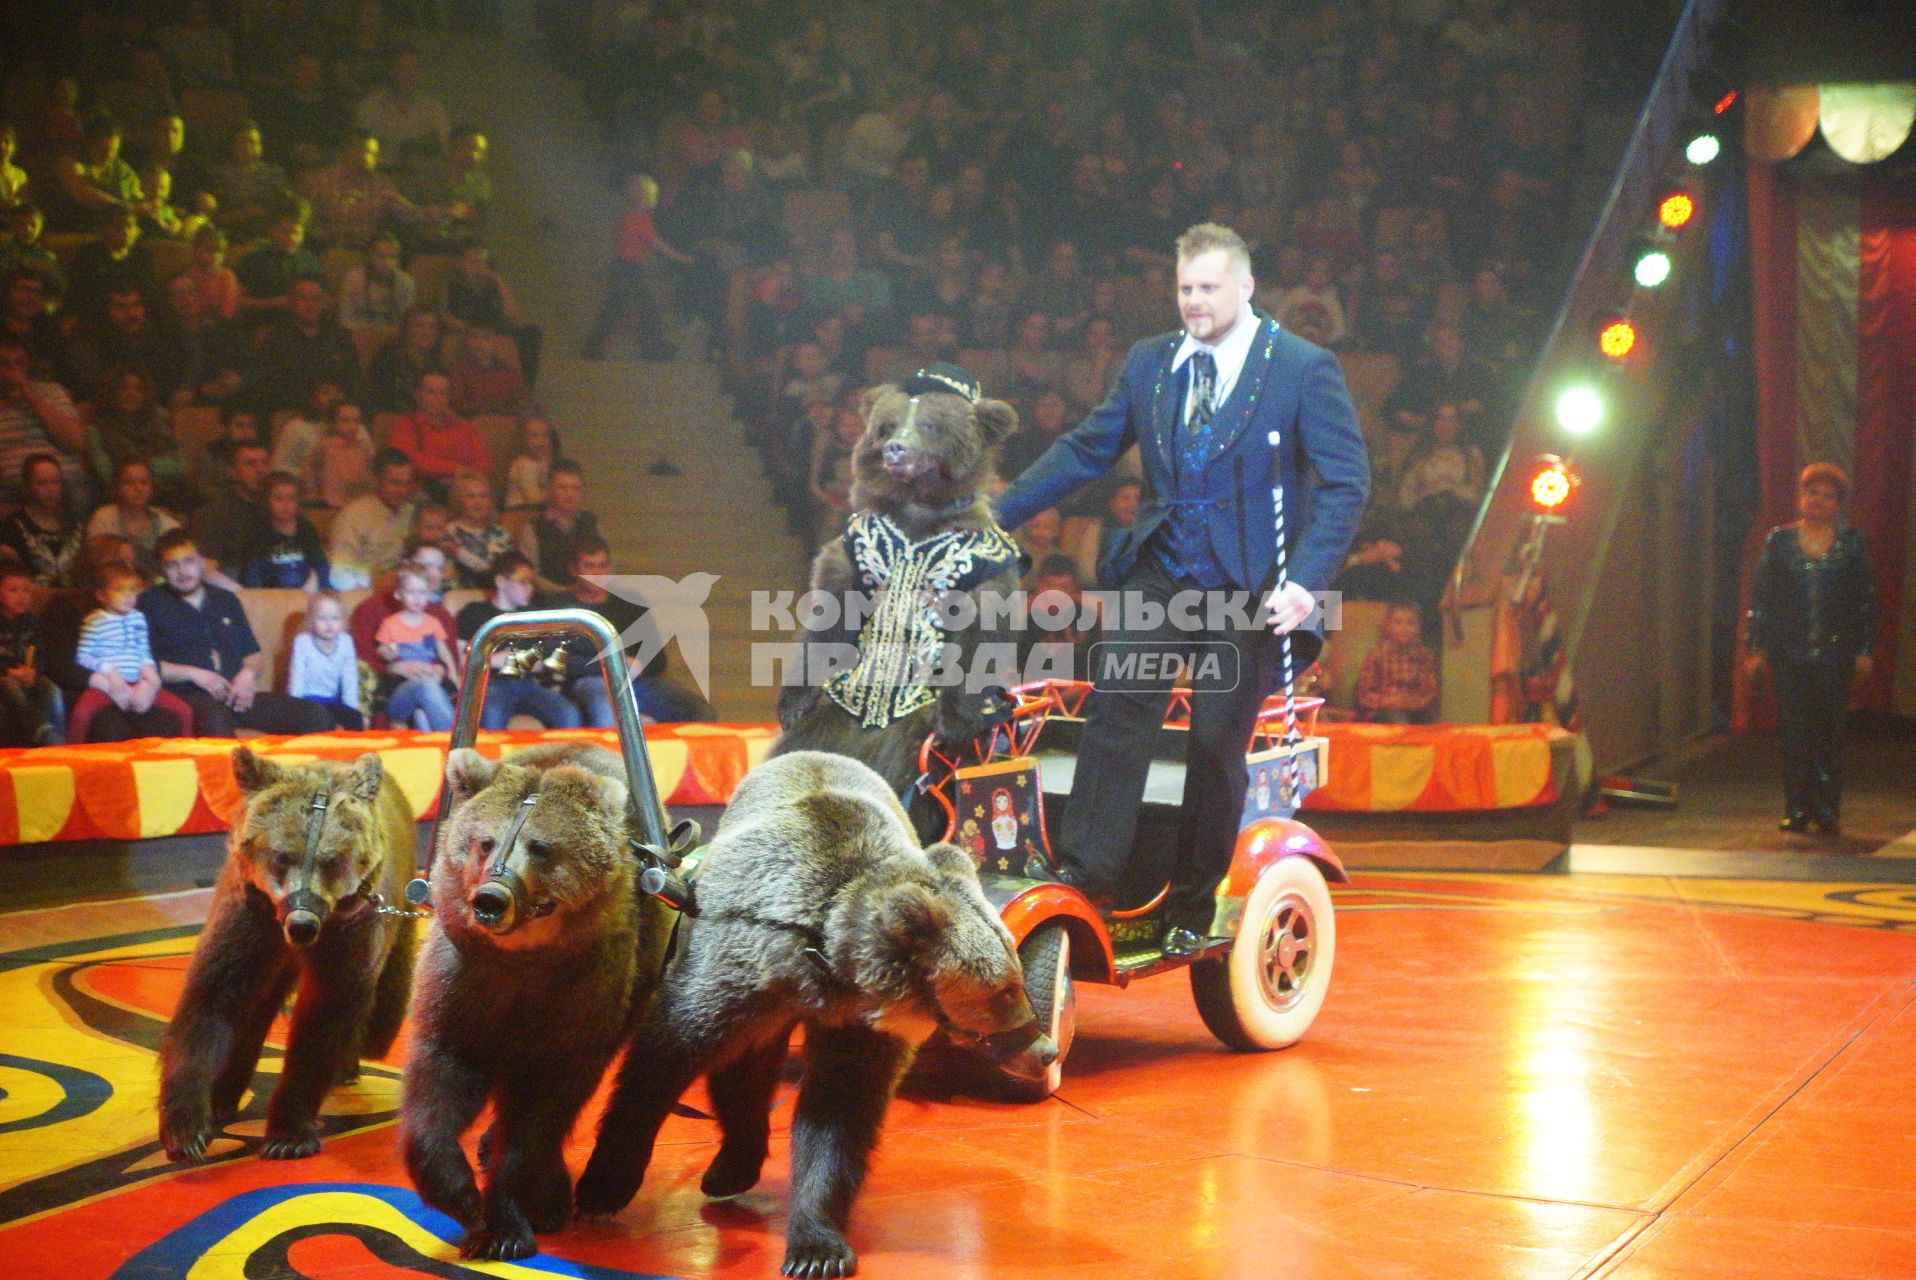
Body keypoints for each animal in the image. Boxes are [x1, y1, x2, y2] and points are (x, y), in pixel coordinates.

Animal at [161, 743, 423, 1165]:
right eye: (282, 855)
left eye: (332, 859)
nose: (302, 923)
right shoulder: (251, 914)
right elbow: (213, 995)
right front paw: (188, 1129)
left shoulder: (350, 930)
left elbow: (325, 1016)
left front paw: (288, 1134)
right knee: (259, 1004)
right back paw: (225, 1095)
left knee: (380, 1014)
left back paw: (348, 1064)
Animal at [400, 739, 678, 1257]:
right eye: (484, 842)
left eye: (542, 847)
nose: (491, 897)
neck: (521, 960)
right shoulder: (461, 983)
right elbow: (440, 1078)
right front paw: (460, 1195)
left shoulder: (579, 994)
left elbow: (542, 1108)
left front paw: (507, 1221)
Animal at [578, 751, 1065, 1280]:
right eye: (1003, 990)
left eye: (1016, 977)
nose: (1047, 1049)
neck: (824, 970)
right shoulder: (734, 971)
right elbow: (662, 1060)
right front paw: (602, 1186)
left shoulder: (857, 1028)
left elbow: (837, 1113)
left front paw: (817, 1248)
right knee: (742, 1068)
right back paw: (730, 1166)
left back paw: (733, 1167)